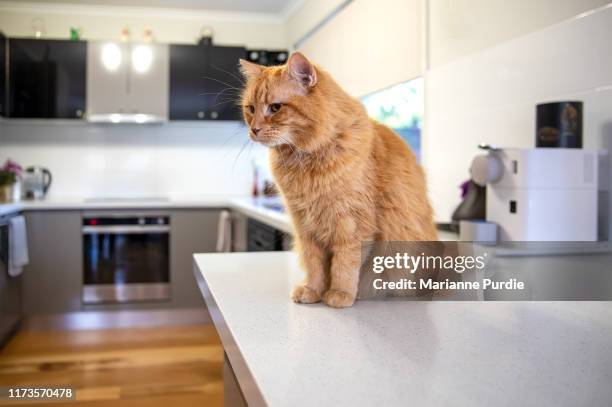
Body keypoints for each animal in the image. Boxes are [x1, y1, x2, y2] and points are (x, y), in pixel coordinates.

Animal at [239, 52, 436, 308]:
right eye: (251, 109)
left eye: (275, 107)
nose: (254, 129)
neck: (306, 161)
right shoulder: (305, 226)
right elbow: (315, 266)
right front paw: (313, 291)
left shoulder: (351, 223)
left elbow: (345, 264)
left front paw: (340, 294)